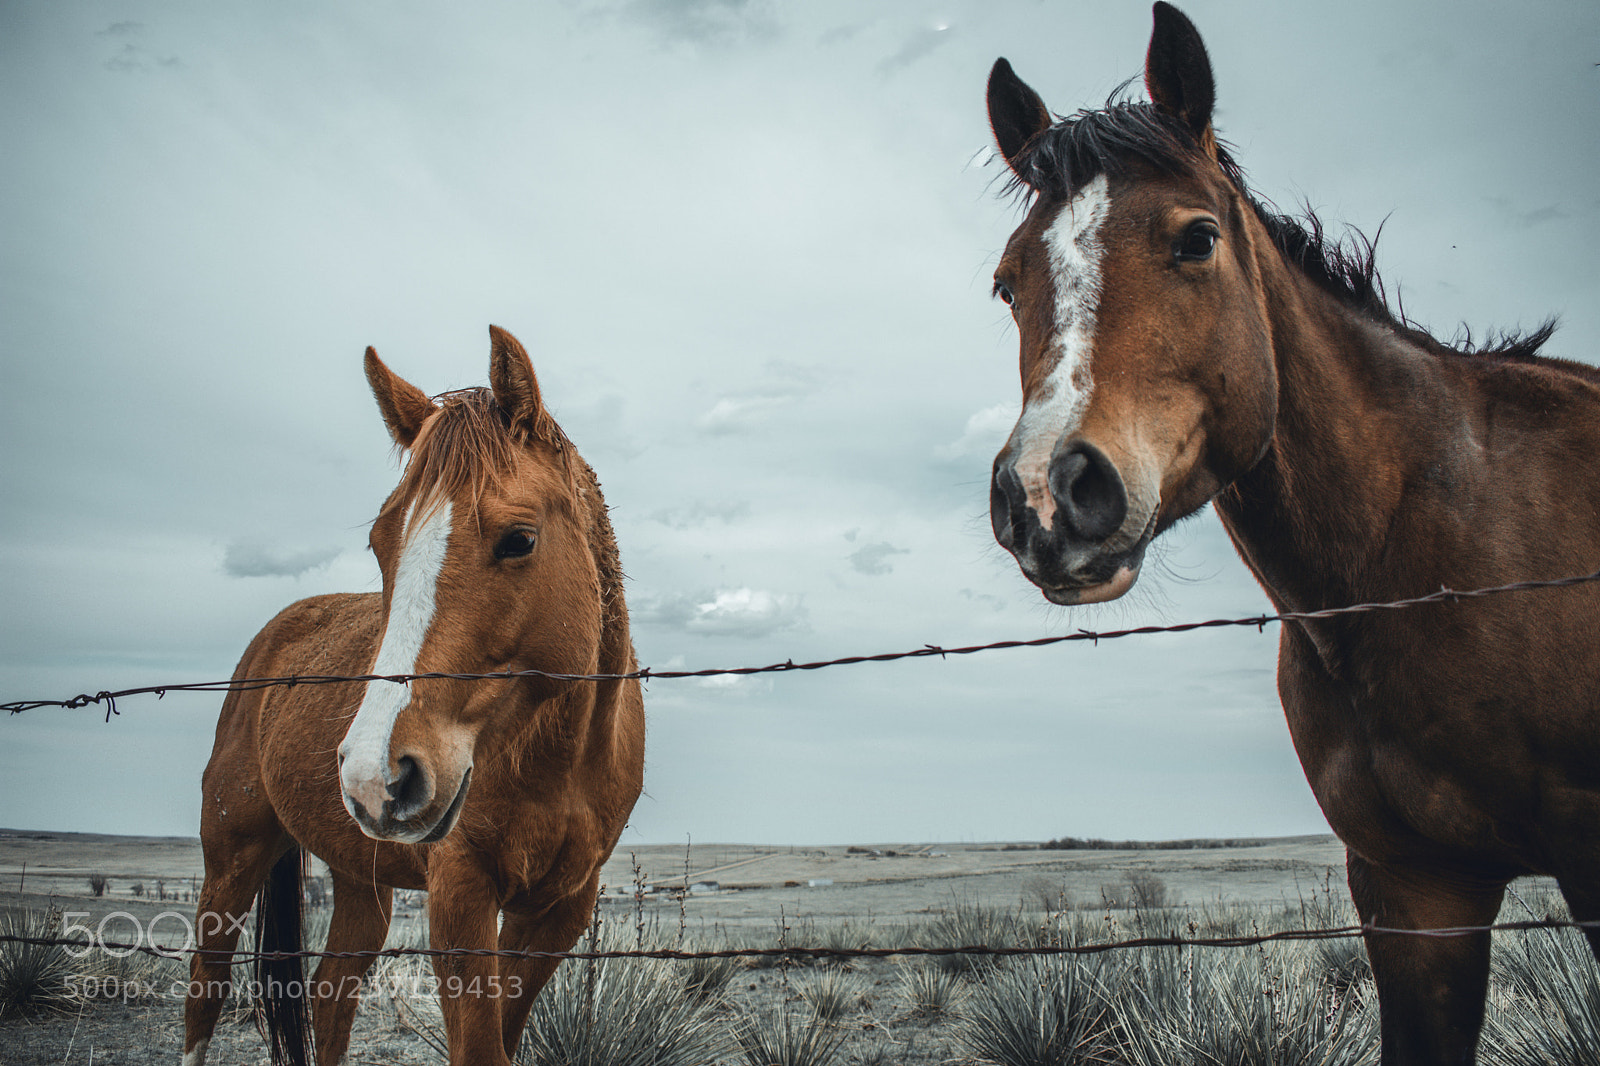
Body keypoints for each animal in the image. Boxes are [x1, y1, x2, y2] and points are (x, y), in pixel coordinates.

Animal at [182, 326, 644, 1066]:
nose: (376, 775)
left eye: (519, 539)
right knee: (206, 987)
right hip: (232, 855)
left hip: (360, 881)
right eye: (380, 542)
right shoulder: (460, 896)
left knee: (330, 994)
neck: (556, 764)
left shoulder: (559, 910)